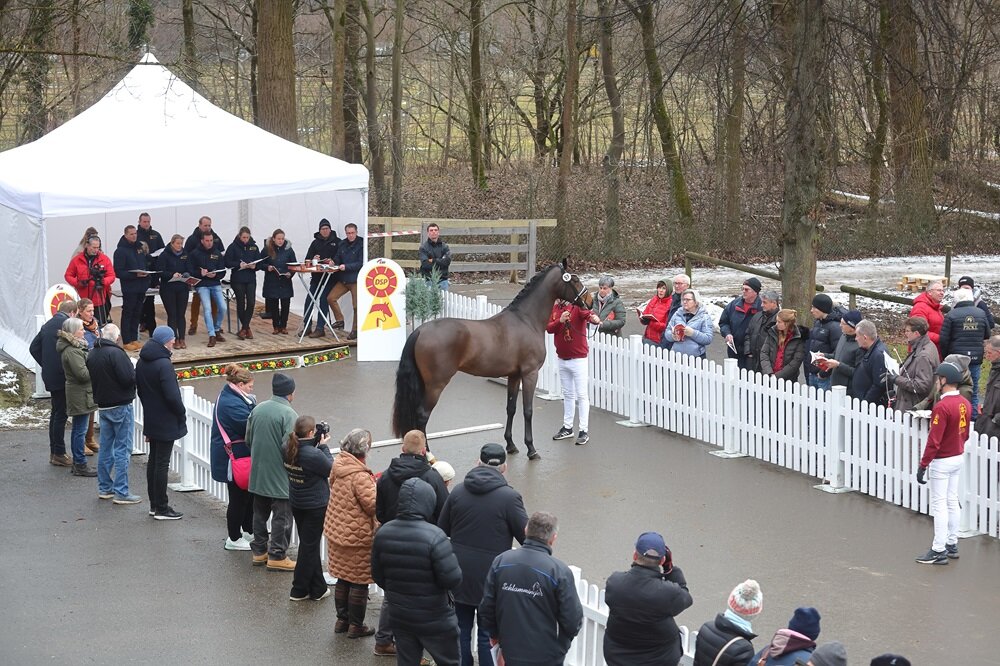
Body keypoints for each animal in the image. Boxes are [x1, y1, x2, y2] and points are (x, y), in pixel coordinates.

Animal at [392, 263, 593, 460]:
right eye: (574, 280)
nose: (590, 302)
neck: (526, 320)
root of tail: (420, 330)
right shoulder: (530, 374)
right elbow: (528, 410)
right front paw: (531, 449)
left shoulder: (514, 376)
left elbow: (511, 408)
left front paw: (511, 445)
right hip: (435, 385)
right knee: (422, 415)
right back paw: (427, 453)